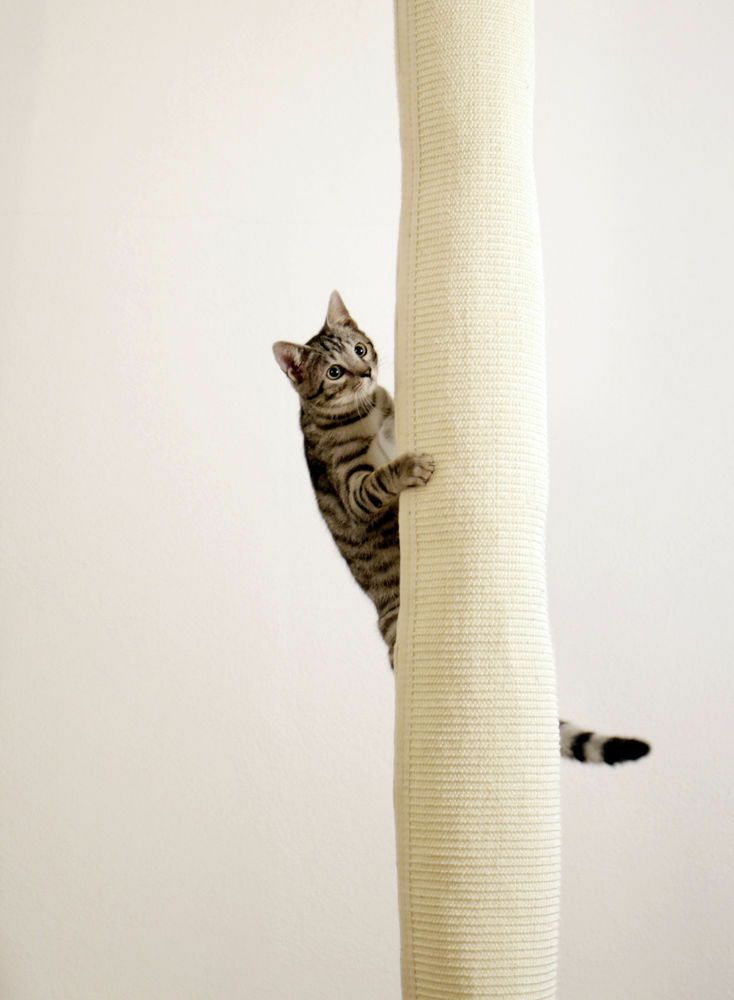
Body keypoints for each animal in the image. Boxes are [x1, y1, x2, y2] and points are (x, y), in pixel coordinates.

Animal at [273, 291, 650, 765]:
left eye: (359, 349)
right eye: (334, 372)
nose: (366, 372)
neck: (363, 415)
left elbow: (391, 414)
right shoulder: (351, 487)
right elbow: (378, 478)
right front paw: (407, 466)